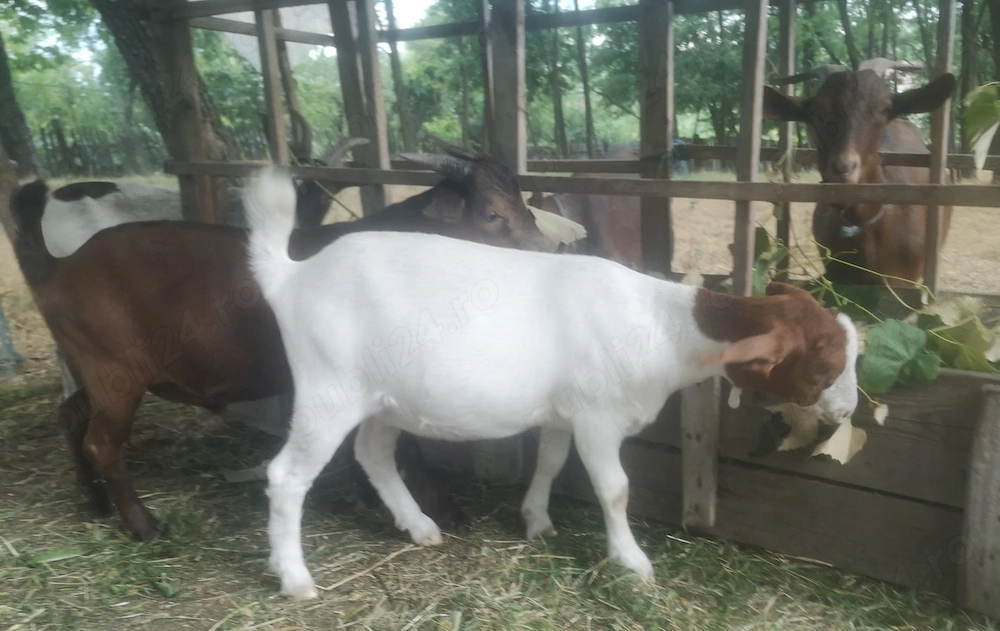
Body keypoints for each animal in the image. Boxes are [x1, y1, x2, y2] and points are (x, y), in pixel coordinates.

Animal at [8, 149, 576, 542]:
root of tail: (59, 267)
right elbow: (403, 445)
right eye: (491, 215)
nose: (548, 256)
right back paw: (143, 524)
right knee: (103, 441)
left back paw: (93, 501)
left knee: (70, 416)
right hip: (115, 371)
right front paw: (438, 508)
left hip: (92, 368)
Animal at [243, 167, 860, 600]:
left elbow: (549, 462)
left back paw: (419, 526)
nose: (847, 413)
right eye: (823, 370)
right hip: (328, 390)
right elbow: (614, 488)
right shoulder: (598, 417)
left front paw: (537, 522)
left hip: (382, 397)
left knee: (373, 452)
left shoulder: (564, 412)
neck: (661, 327)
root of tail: (290, 275)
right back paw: (294, 576)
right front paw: (632, 563)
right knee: (286, 476)